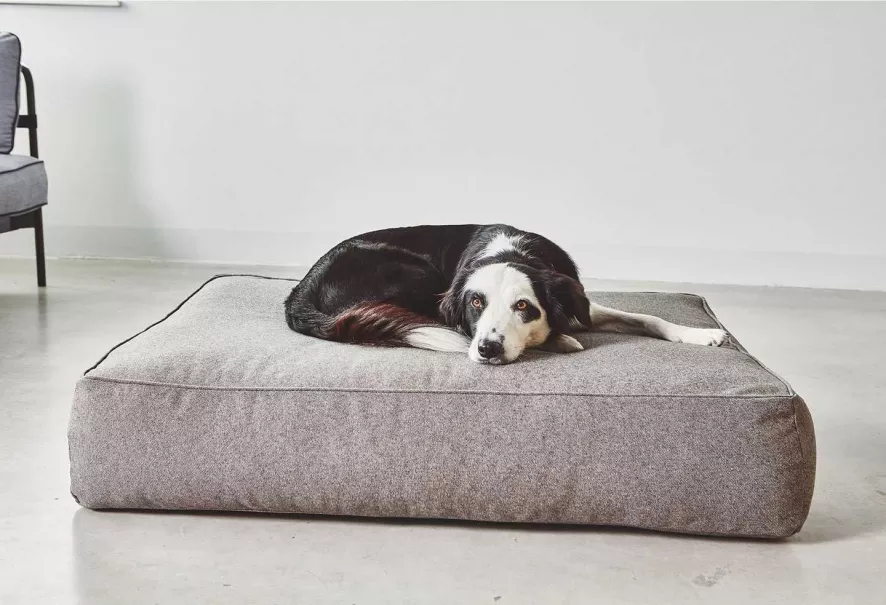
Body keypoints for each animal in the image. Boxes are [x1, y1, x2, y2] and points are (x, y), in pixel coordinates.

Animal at [285, 224, 726, 364]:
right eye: (476, 303)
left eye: (523, 306)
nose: (488, 350)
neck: (512, 251)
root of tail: (300, 288)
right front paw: (561, 339)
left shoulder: (577, 299)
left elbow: (648, 317)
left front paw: (701, 334)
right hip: (419, 275)